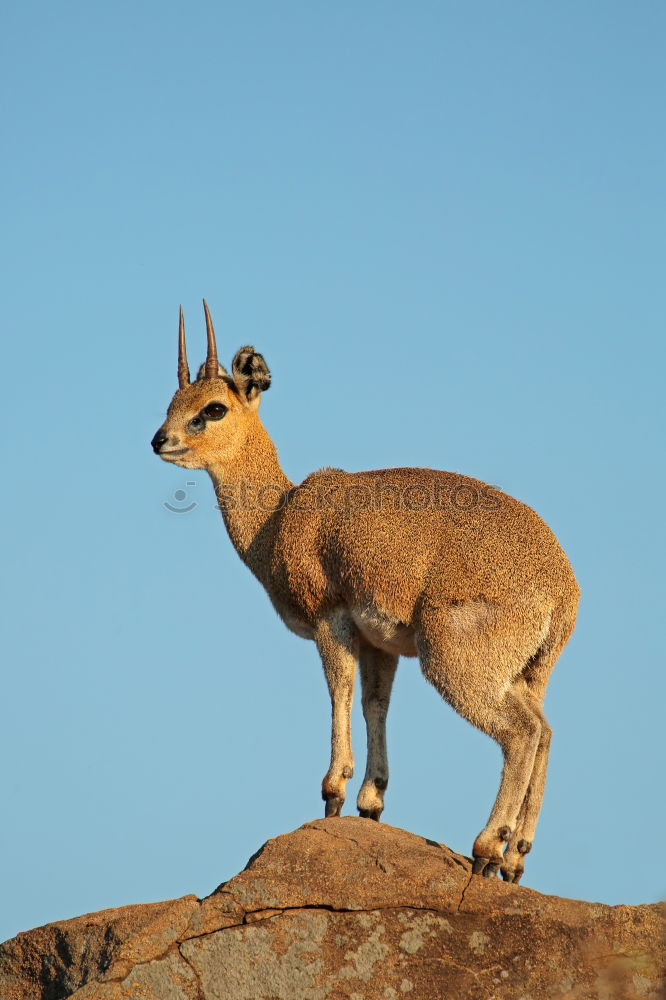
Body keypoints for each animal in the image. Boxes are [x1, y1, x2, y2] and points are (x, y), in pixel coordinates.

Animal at [149, 300, 576, 880]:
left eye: (213, 408)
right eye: (173, 402)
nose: (159, 440)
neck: (279, 518)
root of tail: (563, 587)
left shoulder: (331, 622)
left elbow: (340, 692)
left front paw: (333, 793)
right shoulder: (382, 644)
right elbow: (376, 703)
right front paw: (371, 803)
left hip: (456, 664)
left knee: (522, 733)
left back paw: (487, 847)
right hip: (527, 674)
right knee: (546, 732)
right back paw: (514, 858)